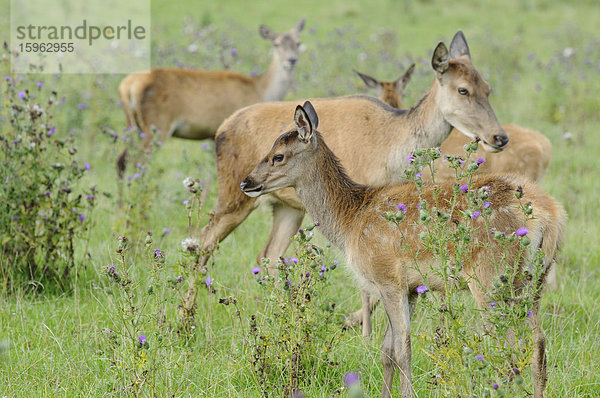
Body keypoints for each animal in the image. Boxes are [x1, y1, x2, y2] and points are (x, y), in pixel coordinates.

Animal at [115, 19, 308, 173]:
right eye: (276, 43)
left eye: (298, 43)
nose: (291, 60)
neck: (260, 90)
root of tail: (128, 85)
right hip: (156, 124)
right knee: (138, 161)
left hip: (132, 125)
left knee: (121, 160)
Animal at [240, 102, 568, 398]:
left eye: (278, 156)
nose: (247, 182)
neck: (350, 220)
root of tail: (550, 216)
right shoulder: (411, 288)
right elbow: (387, 349)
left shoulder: (386, 276)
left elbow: (402, 349)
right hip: (534, 280)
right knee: (538, 344)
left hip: (492, 277)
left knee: (512, 348)